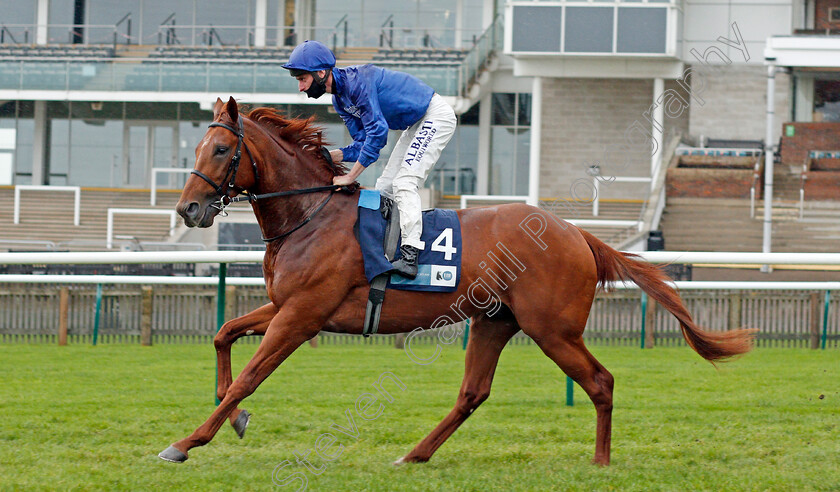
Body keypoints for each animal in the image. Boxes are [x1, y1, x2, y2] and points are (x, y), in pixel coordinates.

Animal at [159, 96, 756, 466]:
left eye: (220, 149)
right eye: (196, 147)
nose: (188, 209)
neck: (310, 214)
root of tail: (578, 234)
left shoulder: (303, 315)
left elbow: (249, 375)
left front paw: (188, 441)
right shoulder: (287, 306)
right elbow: (224, 335)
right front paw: (234, 419)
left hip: (553, 328)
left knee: (600, 381)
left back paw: (601, 460)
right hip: (496, 321)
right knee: (474, 392)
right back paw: (414, 454)